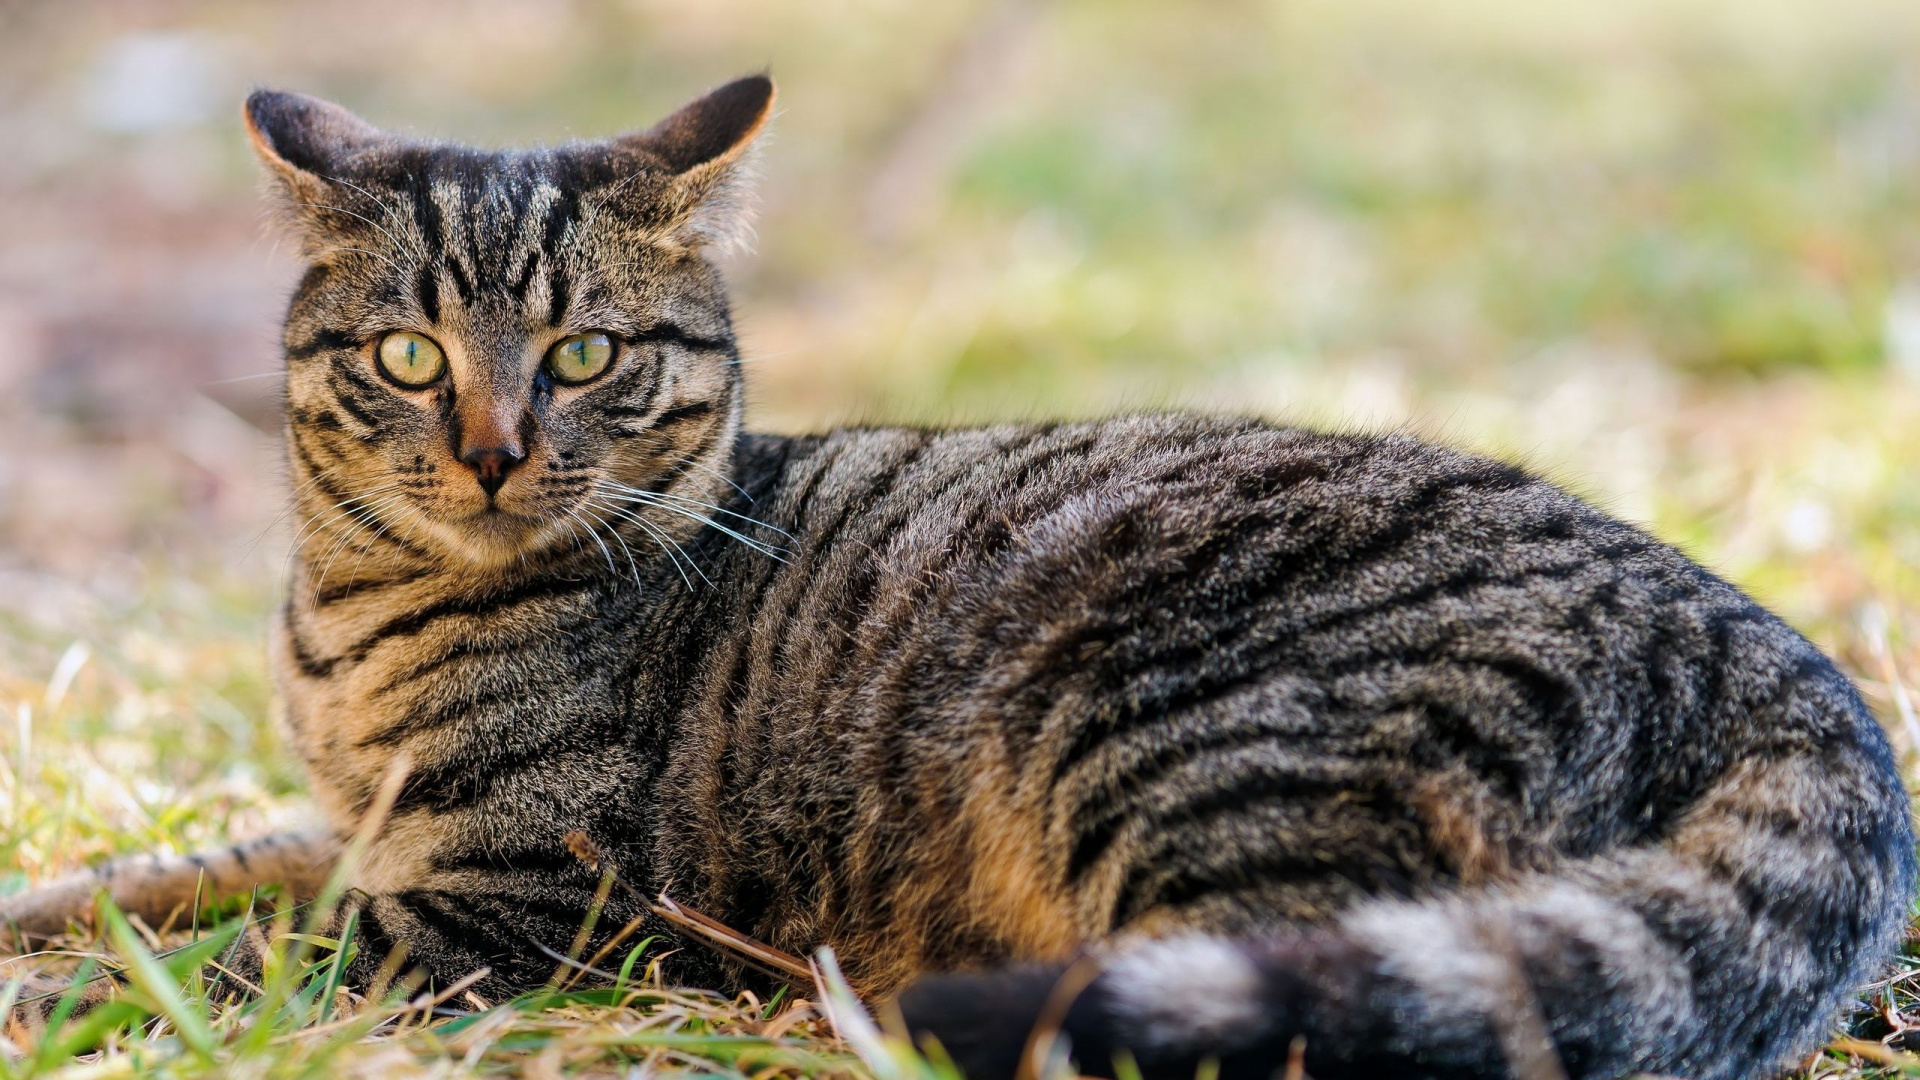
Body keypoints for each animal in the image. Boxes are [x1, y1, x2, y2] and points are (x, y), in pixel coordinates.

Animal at [7, 75, 1912, 1076]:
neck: (348, 629)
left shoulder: (501, 900)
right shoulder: (344, 828)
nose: (486, 446)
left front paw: (52, 996)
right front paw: (53, 913)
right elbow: (161, 881)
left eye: (586, 354)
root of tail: (1771, 644)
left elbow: (240, 954)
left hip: (1187, 752)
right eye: (409, 359)